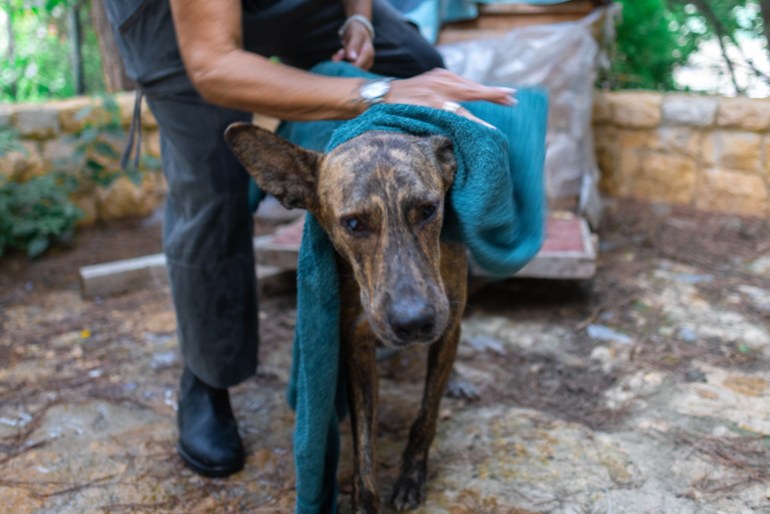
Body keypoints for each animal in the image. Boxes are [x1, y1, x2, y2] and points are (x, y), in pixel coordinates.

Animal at [225, 122, 464, 510]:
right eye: (353, 223)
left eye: (428, 210)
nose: (414, 323)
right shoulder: (357, 340)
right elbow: (363, 440)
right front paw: (364, 501)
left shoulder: (449, 319)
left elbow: (426, 416)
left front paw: (411, 476)